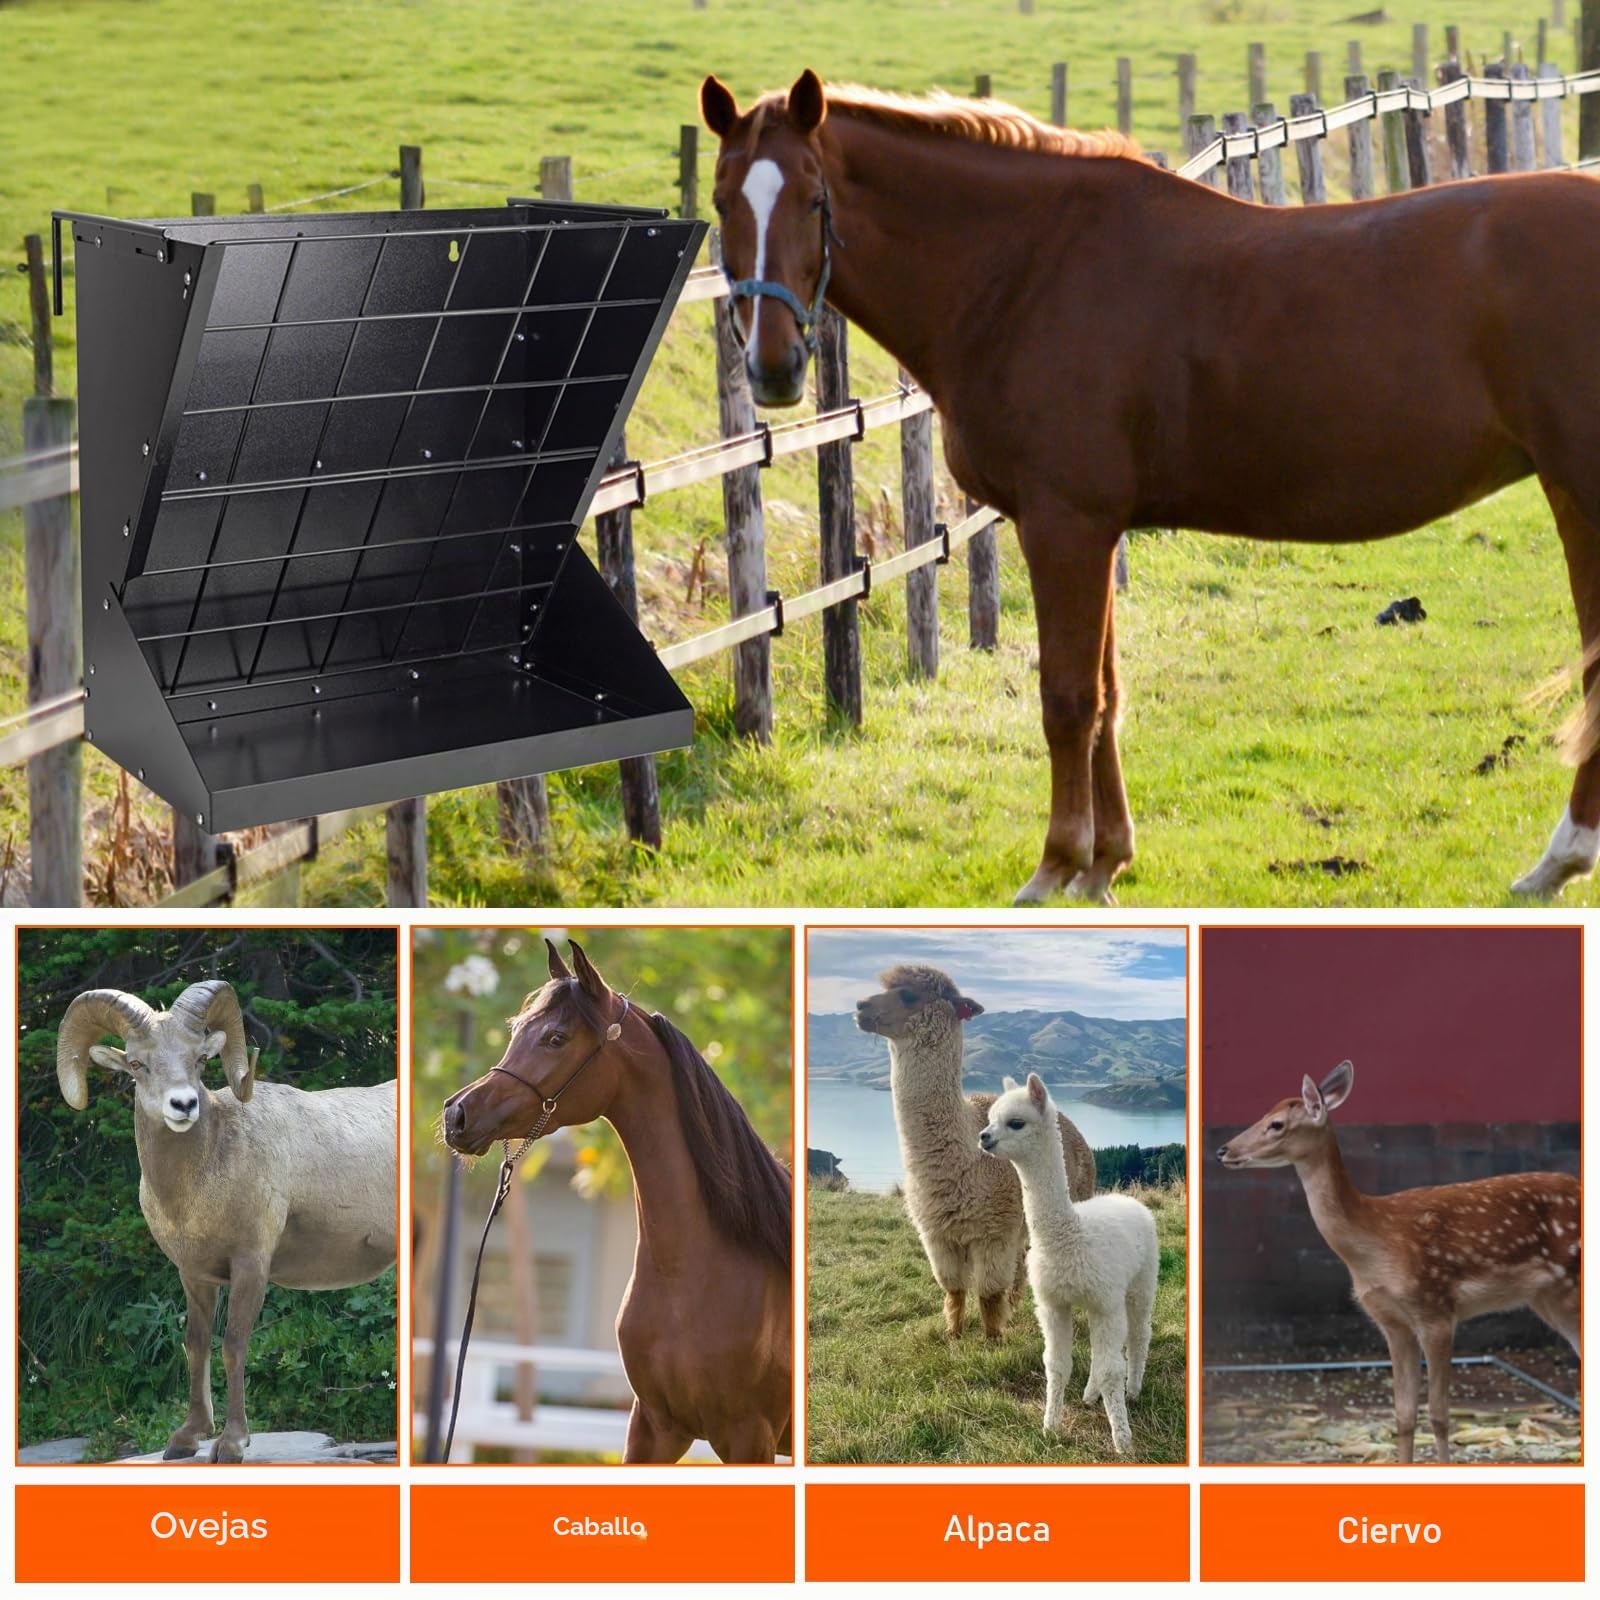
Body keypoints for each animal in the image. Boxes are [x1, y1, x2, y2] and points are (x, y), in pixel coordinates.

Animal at [55, 980, 396, 1463]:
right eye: (138, 1064)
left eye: (199, 1059)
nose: (183, 1105)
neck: (196, 1187)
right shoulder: (194, 1274)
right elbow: (196, 1344)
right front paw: (186, 1438)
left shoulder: (251, 1266)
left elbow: (234, 1345)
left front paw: (231, 1443)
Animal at [700, 70, 1600, 904]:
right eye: (720, 201)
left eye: (814, 197)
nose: (773, 367)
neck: (1026, 269)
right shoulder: (1092, 528)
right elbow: (1106, 694)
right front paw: (1104, 864)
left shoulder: (1064, 522)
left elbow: (1068, 698)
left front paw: (1054, 867)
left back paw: (1561, 858)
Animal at [854, 963, 1095, 1339]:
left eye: (908, 995)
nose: (860, 1006)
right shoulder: (936, 1234)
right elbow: (953, 1288)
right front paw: (953, 1334)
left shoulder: (993, 1231)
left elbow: (988, 1291)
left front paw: (993, 1338)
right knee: (1021, 1263)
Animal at [980, 1073, 1158, 1455]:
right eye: (989, 1118)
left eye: (1015, 1122)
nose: (983, 1137)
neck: (1069, 1237)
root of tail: (1128, 1200)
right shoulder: (1053, 1304)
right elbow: (1057, 1365)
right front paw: (1050, 1427)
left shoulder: (1104, 1302)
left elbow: (1111, 1370)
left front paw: (1123, 1442)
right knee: (1100, 1351)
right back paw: (1091, 1395)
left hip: (1141, 1281)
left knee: (1138, 1334)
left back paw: (1134, 1390)